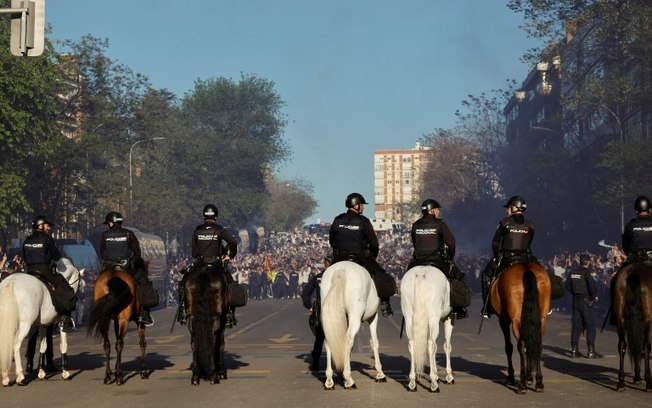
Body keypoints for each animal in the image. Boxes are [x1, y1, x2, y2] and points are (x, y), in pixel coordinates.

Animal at [0, 258, 83, 386]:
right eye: (79, 282)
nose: (77, 295)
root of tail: (10, 282)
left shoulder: (44, 325)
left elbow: (43, 346)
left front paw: (41, 372)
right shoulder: (61, 323)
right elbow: (63, 345)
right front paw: (65, 372)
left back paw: (5, 377)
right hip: (24, 325)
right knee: (16, 345)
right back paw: (20, 376)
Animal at [400, 264, 456, 392]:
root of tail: (421, 274)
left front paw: (436, 374)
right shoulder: (448, 318)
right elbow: (447, 346)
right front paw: (447, 376)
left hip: (409, 318)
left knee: (412, 344)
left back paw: (412, 382)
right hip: (433, 318)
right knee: (431, 345)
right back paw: (434, 385)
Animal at [488, 262, 552, 394]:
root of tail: (526, 268)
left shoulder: (504, 320)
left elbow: (508, 347)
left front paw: (513, 376)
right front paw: (529, 377)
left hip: (516, 320)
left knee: (521, 345)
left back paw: (522, 383)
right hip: (542, 319)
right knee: (537, 344)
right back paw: (538, 382)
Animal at [612, 262, 652, 392]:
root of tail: (634, 271)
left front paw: (637, 376)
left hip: (620, 320)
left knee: (623, 345)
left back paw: (621, 382)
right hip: (648, 320)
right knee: (645, 346)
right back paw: (649, 382)